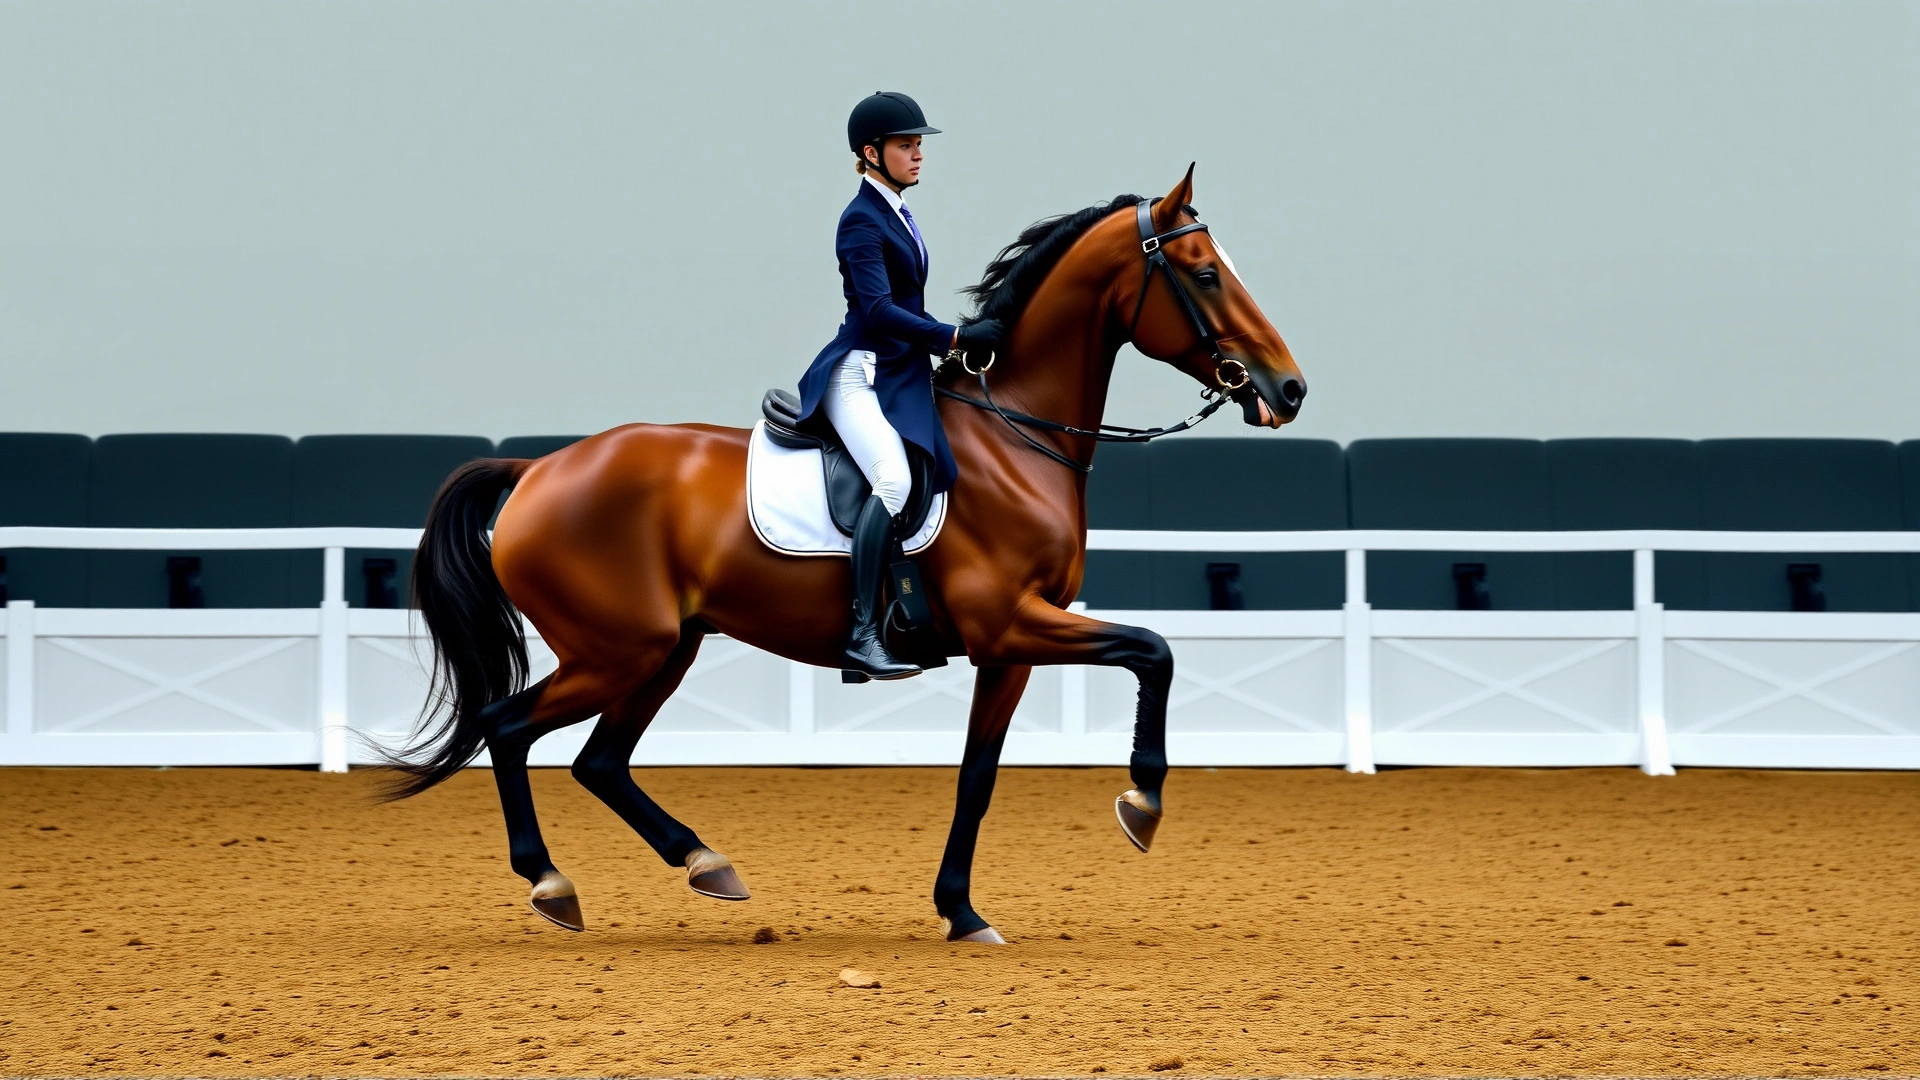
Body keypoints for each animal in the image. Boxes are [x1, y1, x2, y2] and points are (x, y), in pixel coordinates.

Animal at [387, 166, 1306, 945]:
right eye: (1204, 273)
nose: (1288, 389)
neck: (1015, 436)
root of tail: (537, 468)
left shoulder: (1008, 648)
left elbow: (979, 776)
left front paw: (962, 911)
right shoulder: (1013, 623)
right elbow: (1154, 650)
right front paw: (1141, 801)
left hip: (666, 648)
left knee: (601, 761)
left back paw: (706, 865)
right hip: (617, 650)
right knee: (507, 727)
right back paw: (551, 884)